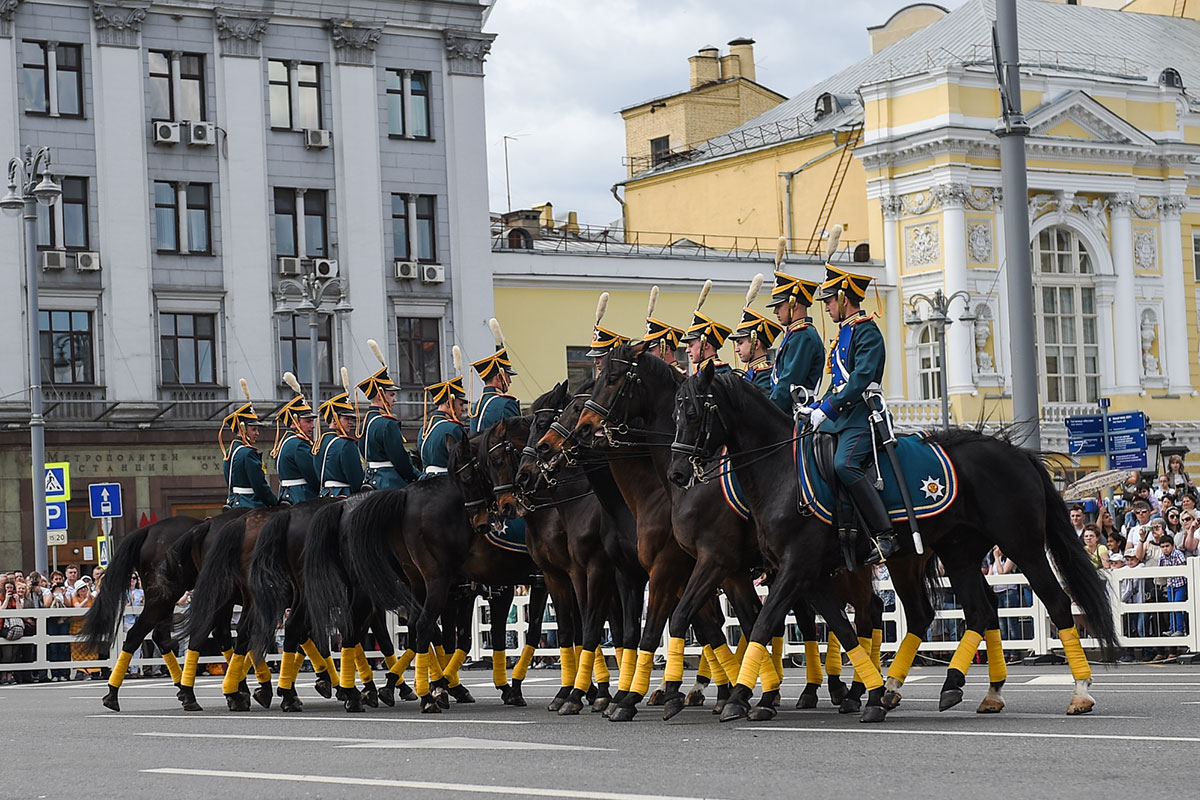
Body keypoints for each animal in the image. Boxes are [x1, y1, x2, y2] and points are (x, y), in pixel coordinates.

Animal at [672, 362, 1118, 719]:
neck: (782, 471)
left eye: (693, 411)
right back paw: (958, 688)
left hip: (1020, 546)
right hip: (956, 553)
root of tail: (1015, 452)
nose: (677, 472)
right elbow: (839, 629)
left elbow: (763, 624)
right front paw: (866, 694)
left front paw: (739, 697)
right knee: (975, 610)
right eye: (675, 411)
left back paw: (1079, 692)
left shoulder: (779, 566)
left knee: (1055, 602)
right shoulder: (800, 573)